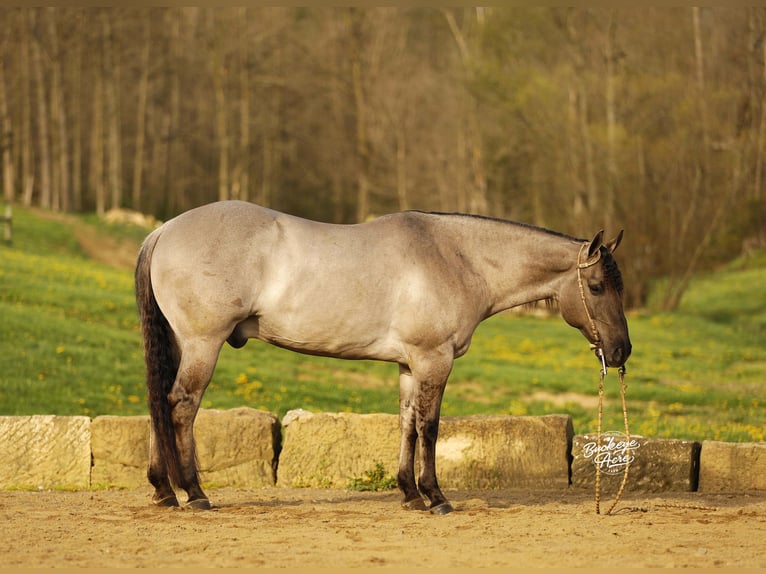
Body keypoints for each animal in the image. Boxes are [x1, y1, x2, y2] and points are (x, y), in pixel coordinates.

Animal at [135, 200, 631, 514]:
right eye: (597, 287)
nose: (621, 350)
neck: (454, 257)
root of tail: (164, 229)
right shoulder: (434, 361)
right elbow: (430, 427)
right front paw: (436, 497)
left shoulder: (410, 365)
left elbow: (407, 423)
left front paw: (410, 494)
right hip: (203, 344)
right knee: (182, 405)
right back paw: (194, 492)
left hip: (180, 343)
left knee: (160, 402)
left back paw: (164, 491)